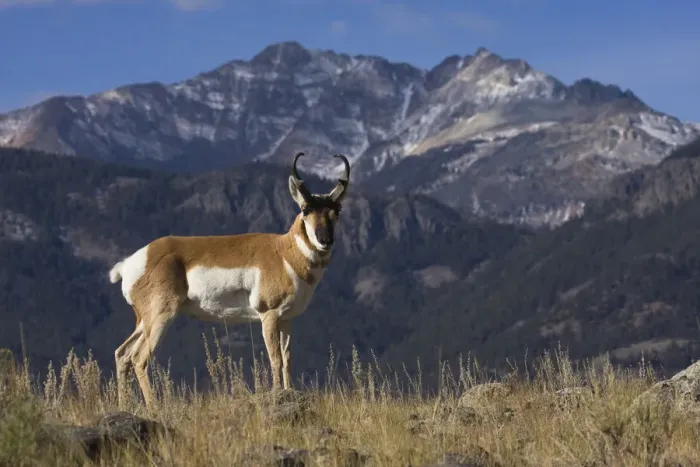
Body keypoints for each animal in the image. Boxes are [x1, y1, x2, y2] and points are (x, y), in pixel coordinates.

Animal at [108, 152, 350, 407]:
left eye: (337, 210)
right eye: (305, 209)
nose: (325, 240)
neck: (283, 252)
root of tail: (132, 262)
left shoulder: (287, 319)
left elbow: (287, 358)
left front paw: (289, 391)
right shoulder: (269, 316)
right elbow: (275, 358)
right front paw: (277, 394)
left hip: (143, 321)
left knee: (122, 354)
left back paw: (125, 405)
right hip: (161, 317)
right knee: (138, 357)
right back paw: (155, 407)